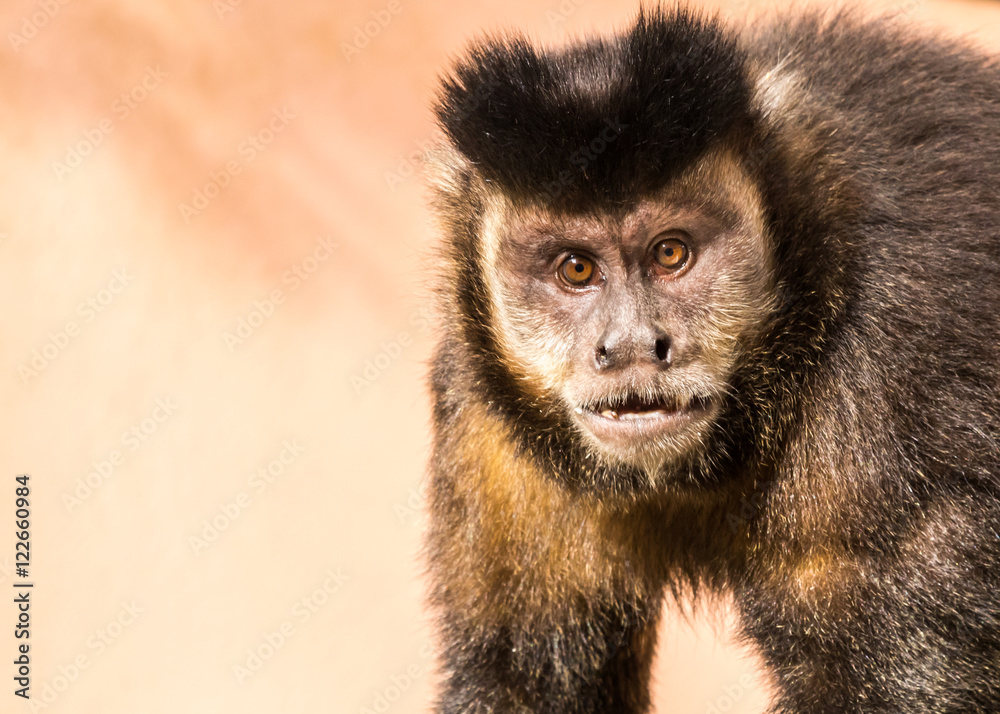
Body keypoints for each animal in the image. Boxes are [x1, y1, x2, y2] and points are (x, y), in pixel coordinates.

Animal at [423, 6, 1000, 713]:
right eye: (576, 269)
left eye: (671, 253)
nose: (633, 346)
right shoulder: (483, 411)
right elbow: (521, 679)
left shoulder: (899, 383)